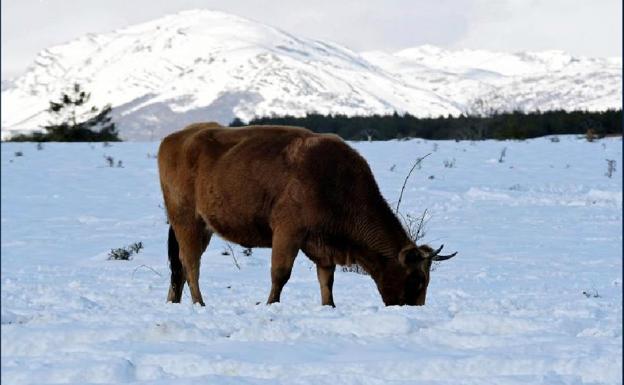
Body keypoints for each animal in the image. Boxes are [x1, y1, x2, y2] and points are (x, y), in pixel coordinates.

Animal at [158, 122, 456, 306]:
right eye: (417, 279)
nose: (416, 308)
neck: (336, 182)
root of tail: (175, 138)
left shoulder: (321, 245)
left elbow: (327, 279)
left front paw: (329, 305)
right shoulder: (288, 233)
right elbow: (280, 273)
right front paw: (271, 304)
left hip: (202, 227)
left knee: (181, 266)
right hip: (187, 221)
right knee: (190, 263)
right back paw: (200, 303)